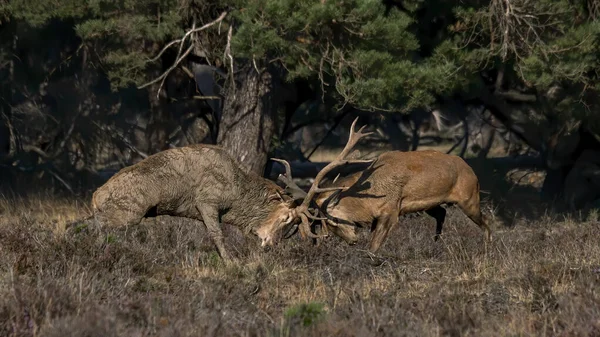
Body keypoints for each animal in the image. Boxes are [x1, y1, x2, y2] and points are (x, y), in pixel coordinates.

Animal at [73, 119, 372, 262]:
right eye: (288, 219)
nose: (270, 245)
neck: (236, 195)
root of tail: (95, 196)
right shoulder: (206, 201)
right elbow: (217, 235)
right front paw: (230, 261)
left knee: (78, 223)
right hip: (128, 213)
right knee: (92, 226)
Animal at [276, 150, 492, 252]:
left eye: (332, 221)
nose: (351, 241)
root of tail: (471, 170)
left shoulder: (391, 211)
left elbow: (373, 246)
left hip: (469, 198)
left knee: (486, 221)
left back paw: (487, 246)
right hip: (432, 204)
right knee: (442, 212)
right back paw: (436, 243)